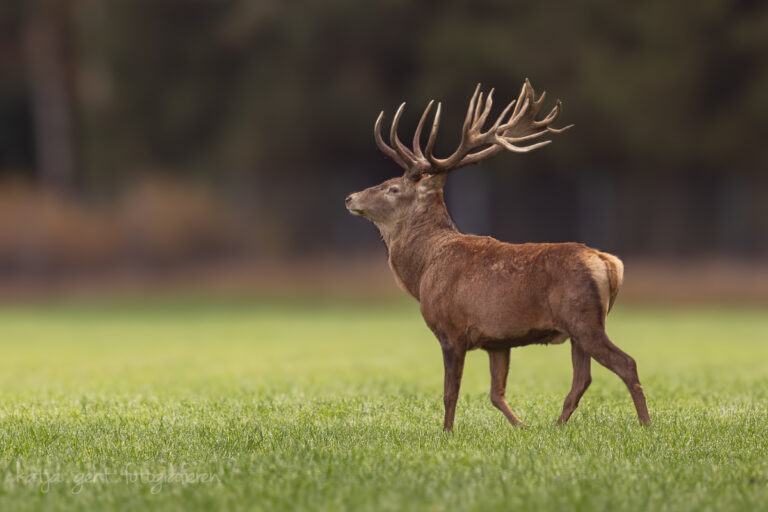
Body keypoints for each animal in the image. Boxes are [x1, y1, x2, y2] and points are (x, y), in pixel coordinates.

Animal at [345, 79, 651, 431]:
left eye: (393, 188)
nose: (350, 197)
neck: (424, 270)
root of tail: (609, 263)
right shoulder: (497, 340)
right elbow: (496, 393)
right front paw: (522, 426)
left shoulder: (451, 329)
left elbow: (450, 393)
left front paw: (447, 432)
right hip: (579, 326)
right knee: (582, 378)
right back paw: (557, 426)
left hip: (583, 318)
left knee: (626, 363)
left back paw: (646, 425)